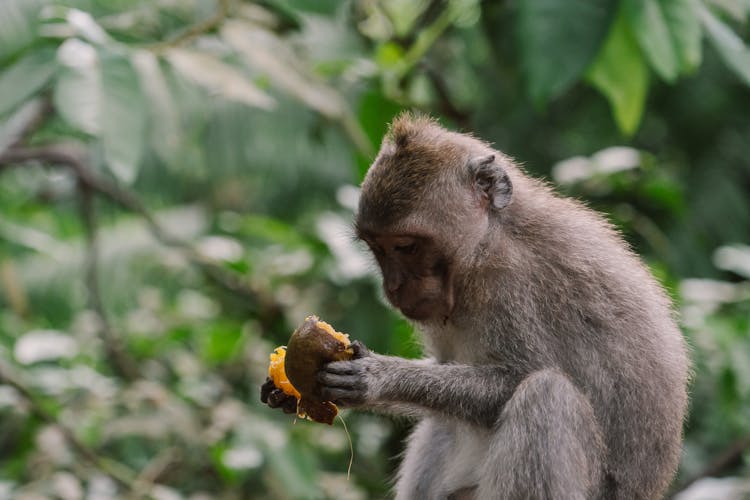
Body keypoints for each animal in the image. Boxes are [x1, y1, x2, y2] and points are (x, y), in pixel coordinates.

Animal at [262, 115, 692, 498]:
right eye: (376, 248)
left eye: (406, 246)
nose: (393, 287)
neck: (484, 243)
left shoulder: (509, 282)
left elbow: (517, 377)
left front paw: (378, 377)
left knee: (547, 394)